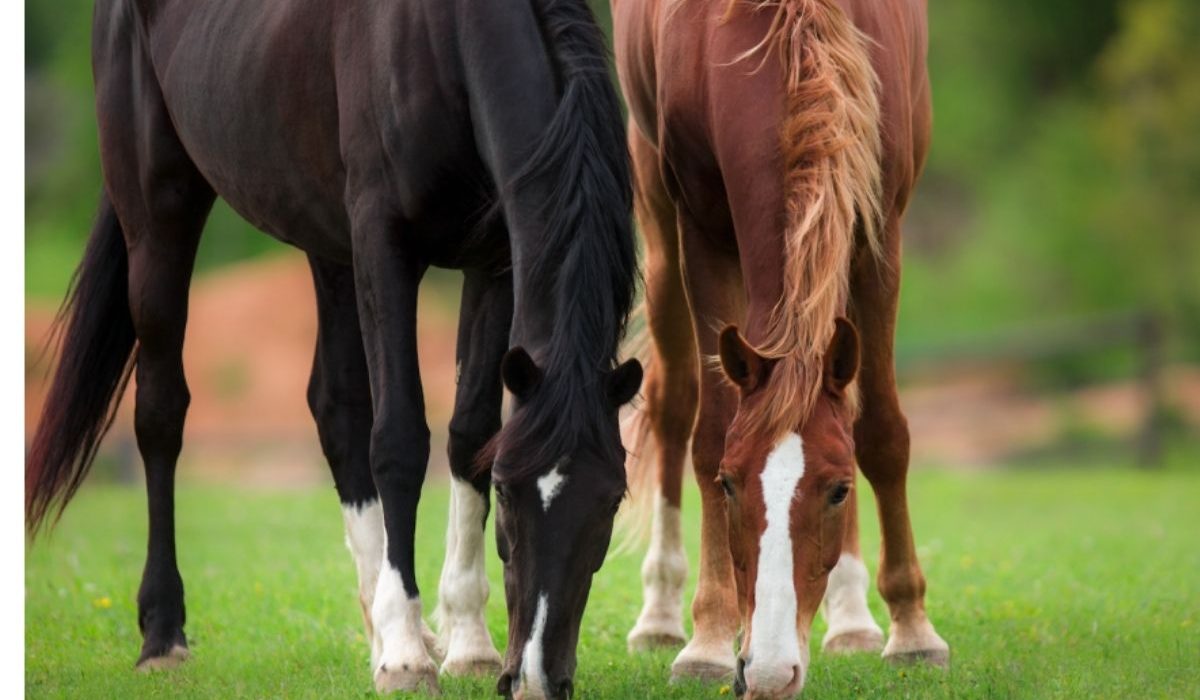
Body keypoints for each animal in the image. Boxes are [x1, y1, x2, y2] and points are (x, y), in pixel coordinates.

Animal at [25, 1, 642, 697]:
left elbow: (468, 435)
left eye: (612, 499)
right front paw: (406, 660)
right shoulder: (383, 242)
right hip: (158, 213)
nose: (535, 678)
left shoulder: (492, 262)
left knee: (336, 409)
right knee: (160, 413)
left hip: (327, 242)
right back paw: (164, 637)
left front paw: (466, 644)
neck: (444, 40)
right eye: (511, 494)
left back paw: (387, 625)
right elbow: (400, 439)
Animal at [612, 0, 947, 696]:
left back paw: (853, 619)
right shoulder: (701, 229)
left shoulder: (880, 228)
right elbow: (710, 429)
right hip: (656, 212)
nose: (767, 672)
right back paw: (660, 614)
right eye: (729, 484)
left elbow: (881, 431)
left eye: (839, 490)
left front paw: (912, 630)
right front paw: (710, 639)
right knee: (672, 403)